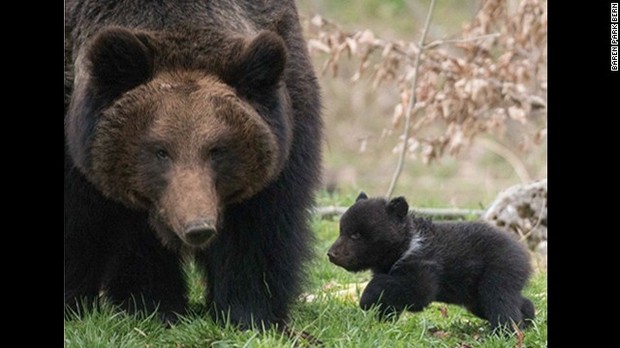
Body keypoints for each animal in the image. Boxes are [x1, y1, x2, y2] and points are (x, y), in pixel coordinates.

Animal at [65, 0, 322, 328]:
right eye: (160, 151)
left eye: (217, 149)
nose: (198, 227)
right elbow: (84, 225)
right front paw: (152, 306)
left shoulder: (288, 126)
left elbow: (260, 228)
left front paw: (249, 311)